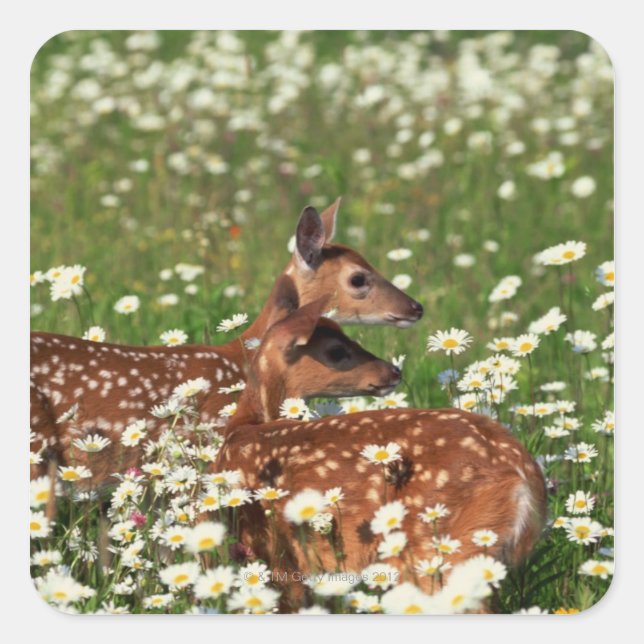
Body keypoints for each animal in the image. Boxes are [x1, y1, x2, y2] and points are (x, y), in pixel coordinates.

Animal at [212, 296, 547, 603]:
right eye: (337, 350)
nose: (394, 371)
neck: (243, 426)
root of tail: (525, 476)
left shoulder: (276, 555)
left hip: (440, 547)